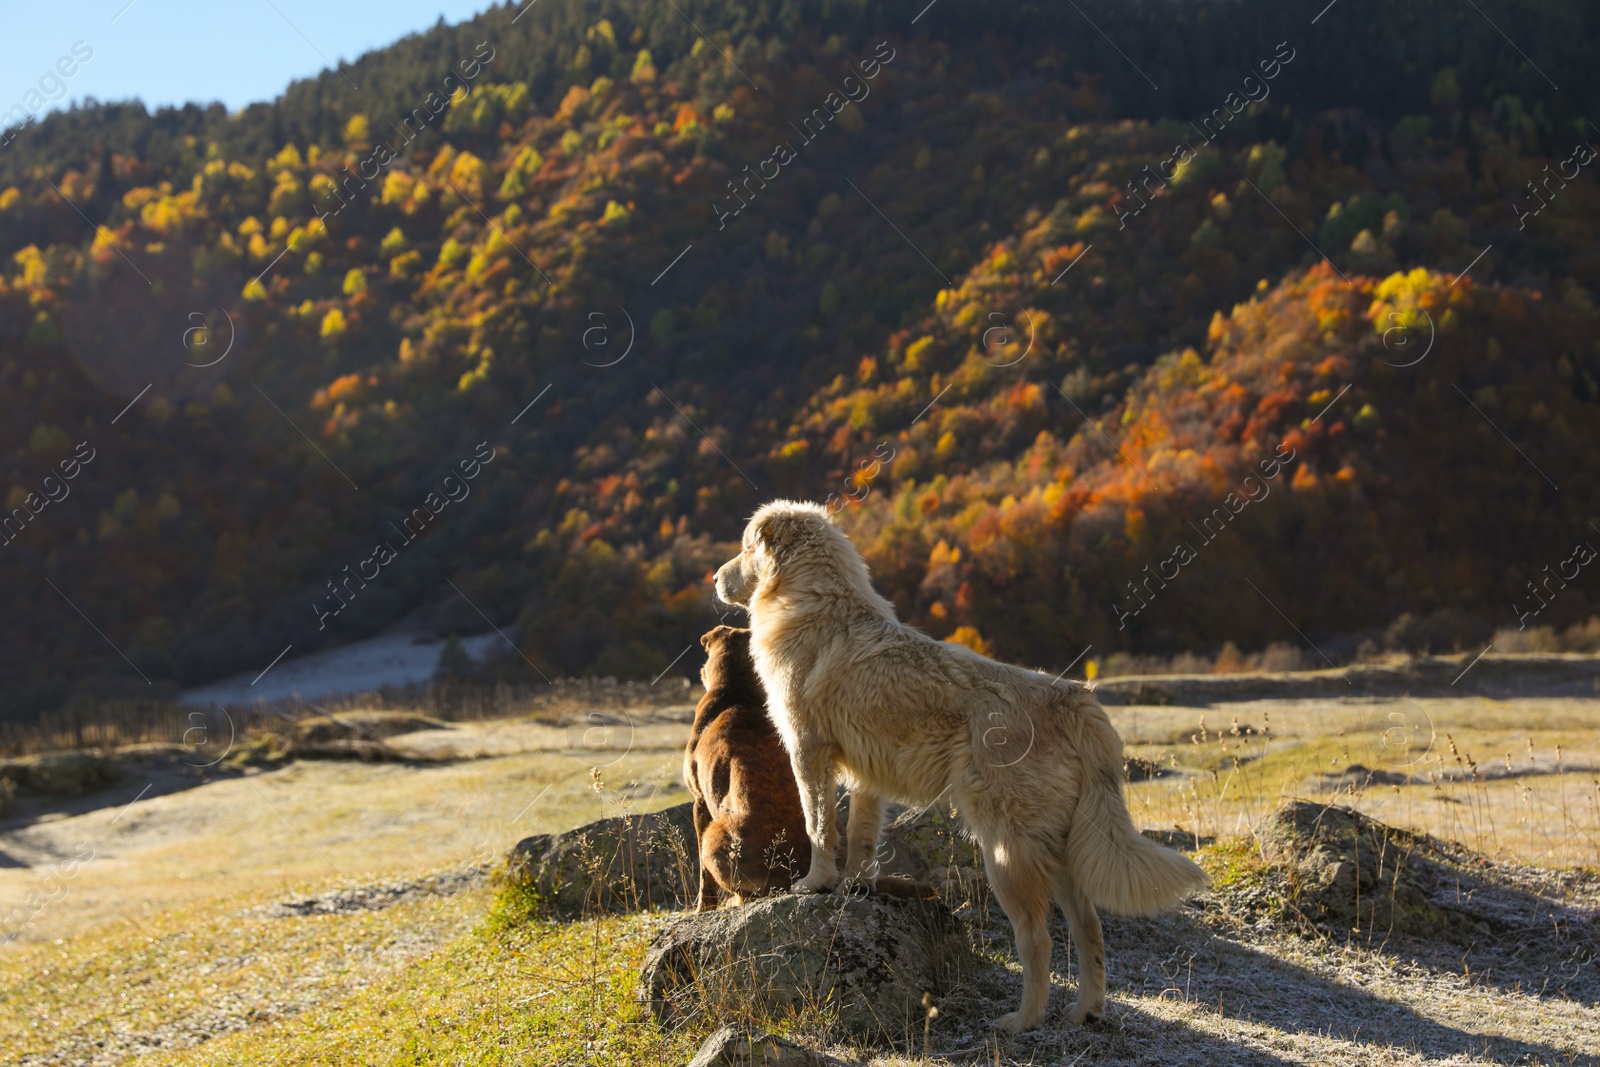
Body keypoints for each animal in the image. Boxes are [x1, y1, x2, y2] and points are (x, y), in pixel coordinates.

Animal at [720, 505, 1203, 1030]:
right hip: (1061, 851)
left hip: (1006, 854)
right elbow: (862, 836)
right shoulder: (867, 772)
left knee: (1038, 939)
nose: (716, 579)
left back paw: (1021, 1021)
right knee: (1090, 930)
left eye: (745, 548)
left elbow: (819, 827)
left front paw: (815, 883)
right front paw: (856, 887)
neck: (812, 597)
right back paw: (1084, 1012)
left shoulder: (807, 751)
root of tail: (1074, 698)